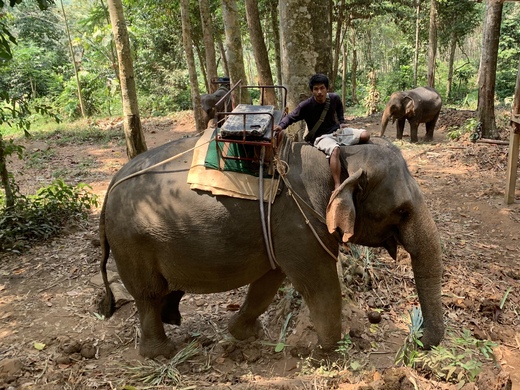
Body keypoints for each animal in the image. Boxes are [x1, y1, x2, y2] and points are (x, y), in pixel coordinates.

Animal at [97, 135, 442, 360]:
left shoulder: (279, 233)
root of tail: (109, 189)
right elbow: (320, 285)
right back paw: (161, 353)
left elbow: (269, 281)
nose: (418, 343)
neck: (339, 158)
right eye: (402, 211)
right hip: (133, 244)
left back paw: (173, 321)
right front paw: (328, 353)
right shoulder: (299, 224)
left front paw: (246, 334)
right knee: (148, 295)